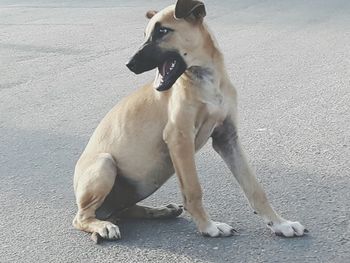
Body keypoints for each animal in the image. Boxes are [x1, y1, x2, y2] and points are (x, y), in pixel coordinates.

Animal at [72, 0, 306, 243]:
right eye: (145, 34)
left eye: (162, 31)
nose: (129, 64)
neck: (207, 80)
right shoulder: (179, 139)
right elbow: (194, 189)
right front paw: (209, 227)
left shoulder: (227, 139)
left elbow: (255, 188)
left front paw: (280, 223)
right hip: (105, 163)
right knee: (82, 217)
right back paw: (104, 226)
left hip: (138, 185)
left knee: (126, 209)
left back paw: (159, 211)